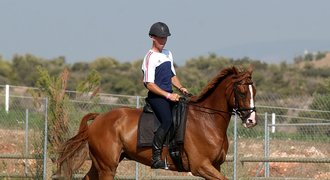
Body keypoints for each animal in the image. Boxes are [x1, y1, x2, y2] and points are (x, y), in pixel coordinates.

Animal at [54, 65, 256, 179]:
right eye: (242, 92)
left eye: (254, 91)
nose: (251, 120)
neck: (207, 120)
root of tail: (99, 118)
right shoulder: (201, 166)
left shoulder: (214, 166)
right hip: (108, 167)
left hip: (100, 164)